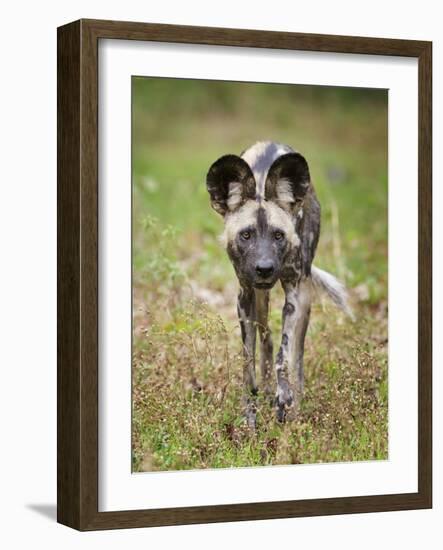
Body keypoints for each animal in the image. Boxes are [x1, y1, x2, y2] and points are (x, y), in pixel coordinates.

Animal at [206, 141, 352, 426]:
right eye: (246, 235)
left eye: (278, 235)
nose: (264, 268)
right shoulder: (245, 296)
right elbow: (248, 360)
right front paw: (250, 410)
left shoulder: (295, 293)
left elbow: (284, 356)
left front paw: (284, 398)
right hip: (260, 300)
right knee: (266, 339)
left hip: (303, 298)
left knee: (296, 354)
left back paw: (296, 404)